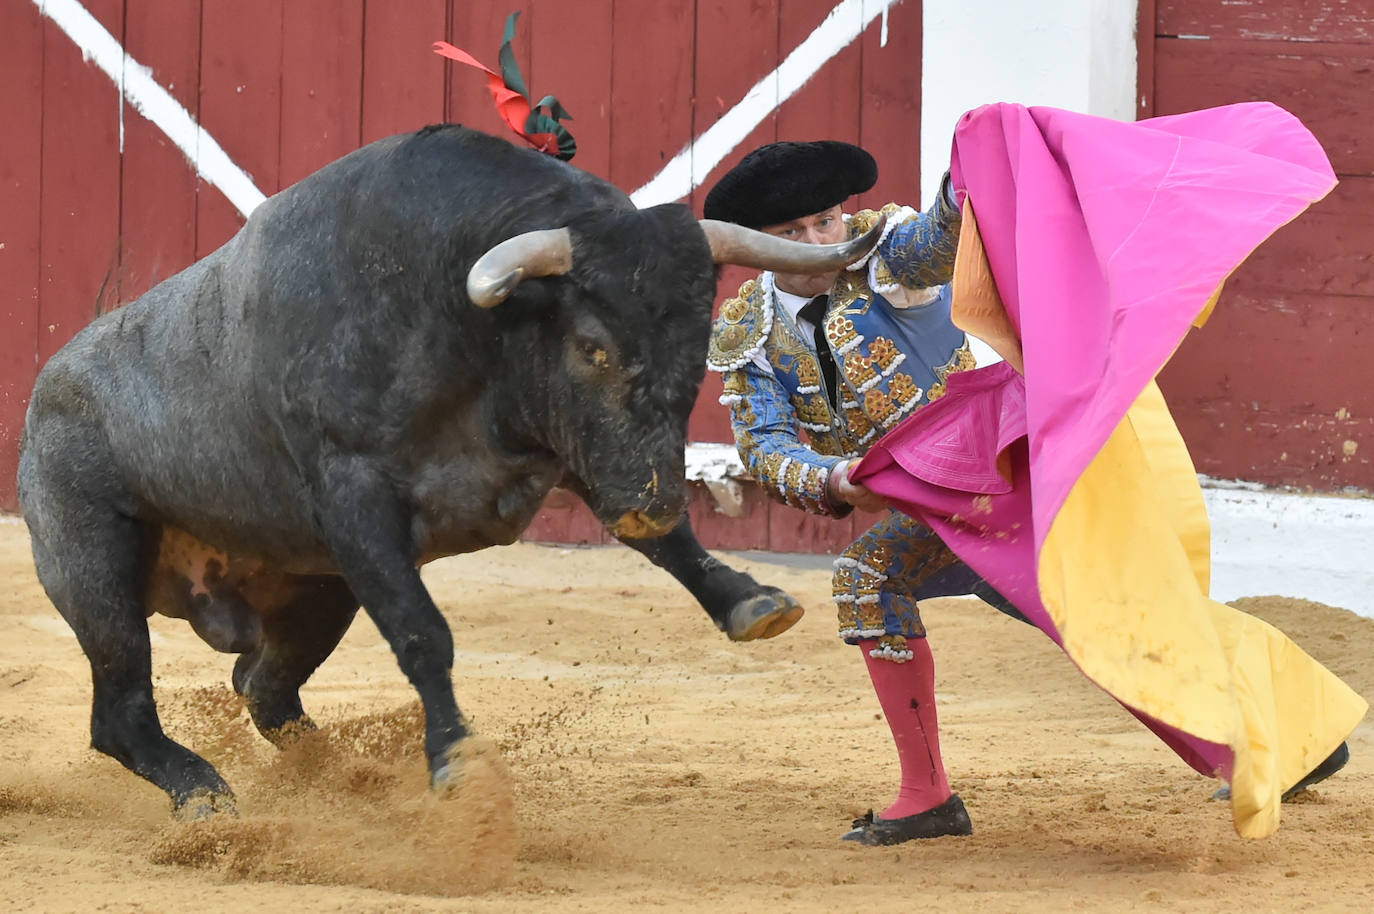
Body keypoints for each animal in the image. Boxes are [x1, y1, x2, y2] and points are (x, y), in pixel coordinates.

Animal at [16, 125, 884, 813]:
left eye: (699, 343)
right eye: (592, 346)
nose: (658, 498)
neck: (455, 319)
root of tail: (41, 397)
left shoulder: (565, 444)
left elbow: (662, 545)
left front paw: (750, 600)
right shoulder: (357, 501)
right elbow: (423, 635)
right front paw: (456, 765)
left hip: (318, 591)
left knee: (262, 690)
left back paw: (345, 774)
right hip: (97, 570)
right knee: (123, 709)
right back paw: (202, 792)